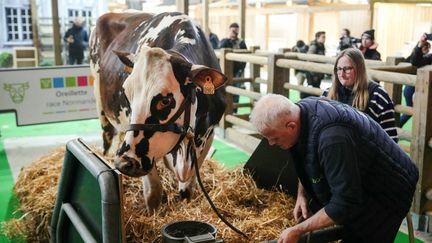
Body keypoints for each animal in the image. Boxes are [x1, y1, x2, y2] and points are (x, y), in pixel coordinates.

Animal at [90, 12, 228, 212]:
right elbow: (153, 192)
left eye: (165, 100)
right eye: (127, 93)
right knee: (107, 136)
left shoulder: (208, 135)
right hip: (99, 99)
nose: (124, 162)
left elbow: (188, 189)